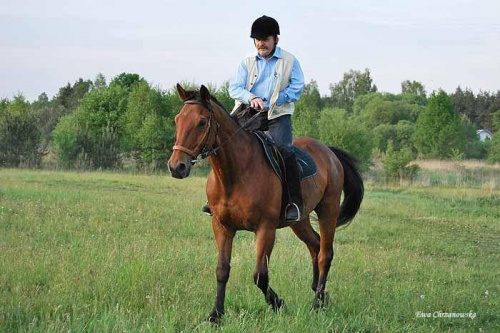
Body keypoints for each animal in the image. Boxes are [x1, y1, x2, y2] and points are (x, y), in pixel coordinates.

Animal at [168, 83, 364, 322]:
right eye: (177, 120)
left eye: (202, 122)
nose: (177, 167)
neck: (235, 174)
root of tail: (329, 152)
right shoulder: (222, 226)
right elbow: (222, 270)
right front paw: (216, 315)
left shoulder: (265, 228)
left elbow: (260, 276)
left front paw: (279, 304)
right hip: (300, 220)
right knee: (315, 246)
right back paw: (321, 293)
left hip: (328, 209)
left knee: (325, 253)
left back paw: (317, 303)